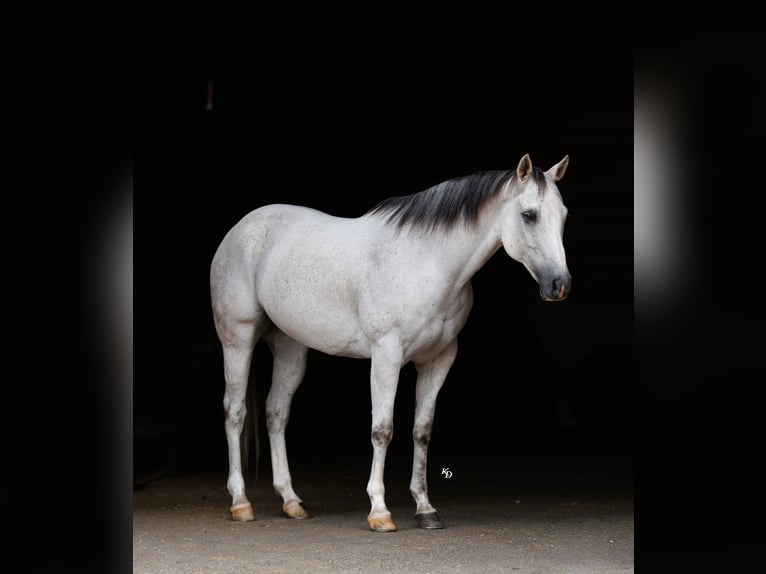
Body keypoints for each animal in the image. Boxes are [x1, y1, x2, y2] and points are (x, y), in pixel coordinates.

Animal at [210, 153, 571, 532]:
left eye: (563, 215)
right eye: (529, 215)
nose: (559, 285)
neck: (428, 262)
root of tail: (242, 227)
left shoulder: (439, 359)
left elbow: (421, 430)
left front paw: (425, 509)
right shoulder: (387, 355)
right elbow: (382, 429)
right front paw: (379, 511)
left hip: (290, 347)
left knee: (276, 413)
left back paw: (291, 501)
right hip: (237, 339)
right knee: (235, 412)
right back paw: (241, 502)